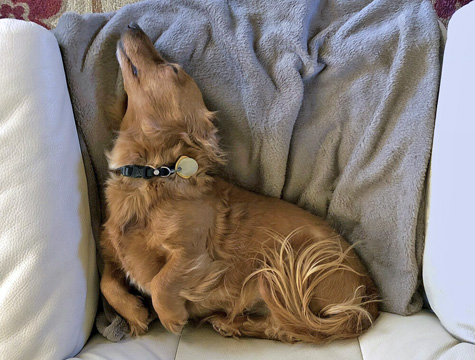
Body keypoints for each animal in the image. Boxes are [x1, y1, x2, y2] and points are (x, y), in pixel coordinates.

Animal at [99, 22, 380, 344]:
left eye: (172, 69)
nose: (133, 25)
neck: (153, 174)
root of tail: (369, 300)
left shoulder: (192, 253)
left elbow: (161, 282)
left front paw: (170, 317)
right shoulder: (113, 252)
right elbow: (106, 281)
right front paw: (134, 313)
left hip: (284, 266)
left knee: (290, 328)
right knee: (282, 327)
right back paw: (229, 324)